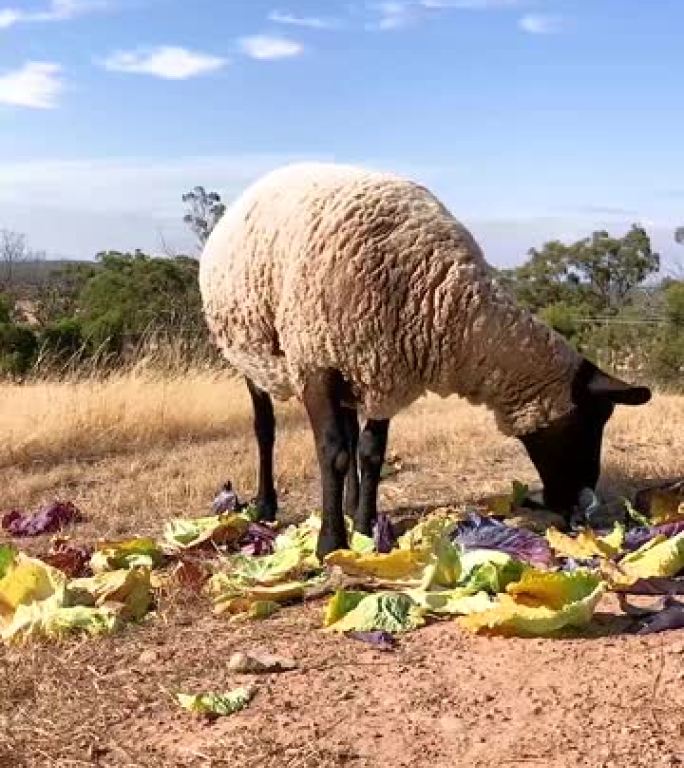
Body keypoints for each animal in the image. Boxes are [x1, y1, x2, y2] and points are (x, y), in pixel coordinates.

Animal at [199, 162, 652, 560]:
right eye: (593, 420)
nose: (579, 506)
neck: (443, 295)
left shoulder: (383, 368)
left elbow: (370, 453)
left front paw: (364, 527)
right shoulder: (317, 361)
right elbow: (333, 453)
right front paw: (331, 544)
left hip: (350, 368)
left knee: (349, 433)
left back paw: (348, 503)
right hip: (252, 350)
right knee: (265, 429)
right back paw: (266, 505)